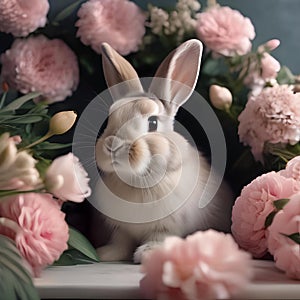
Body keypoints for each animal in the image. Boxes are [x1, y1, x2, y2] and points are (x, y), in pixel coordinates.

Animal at [95, 39, 233, 262]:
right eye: (111, 117)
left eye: (153, 123)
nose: (113, 145)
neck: (136, 180)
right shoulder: (121, 229)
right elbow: (121, 242)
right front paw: (105, 253)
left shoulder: (168, 226)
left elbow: (160, 237)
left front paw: (148, 253)